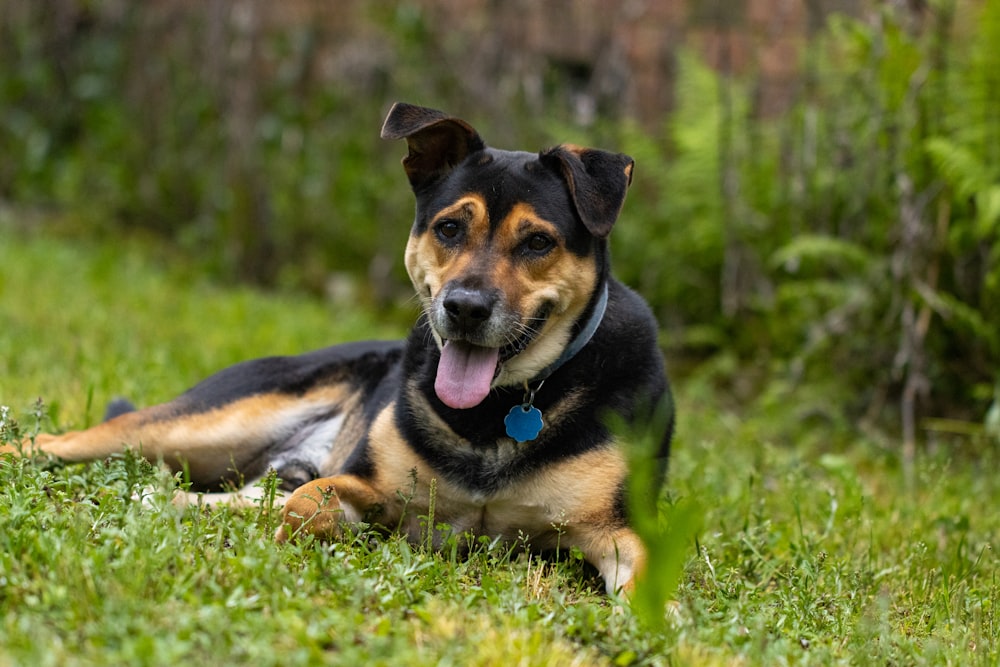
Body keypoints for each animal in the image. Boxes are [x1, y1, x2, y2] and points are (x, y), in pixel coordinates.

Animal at [5, 104, 672, 596]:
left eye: (537, 242)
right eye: (449, 228)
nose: (464, 307)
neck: (498, 408)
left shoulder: (616, 529)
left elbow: (650, 579)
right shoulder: (365, 483)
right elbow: (309, 502)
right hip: (199, 423)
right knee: (63, 442)